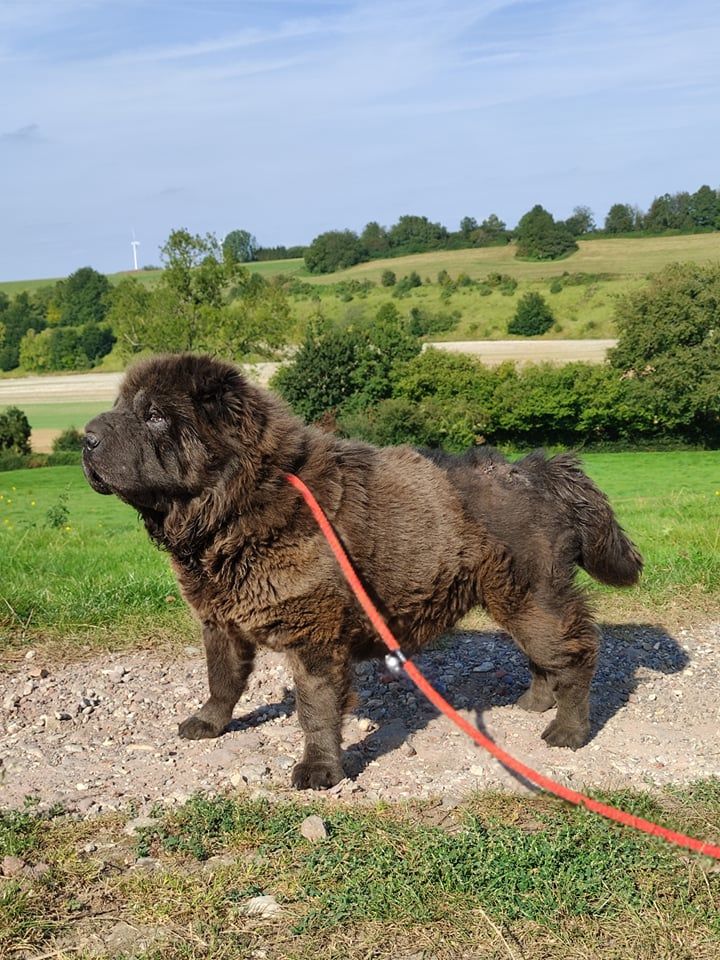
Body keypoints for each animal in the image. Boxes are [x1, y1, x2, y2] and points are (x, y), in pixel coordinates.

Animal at [83, 352, 640, 788]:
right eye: (121, 408)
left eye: (154, 416)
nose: (87, 437)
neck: (244, 503)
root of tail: (538, 470)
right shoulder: (220, 621)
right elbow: (223, 681)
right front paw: (210, 723)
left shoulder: (313, 634)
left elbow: (315, 708)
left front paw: (320, 770)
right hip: (517, 601)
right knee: (547, 656)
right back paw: (536, 701)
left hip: (532, 599)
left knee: (577, 654)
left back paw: (569, 729)